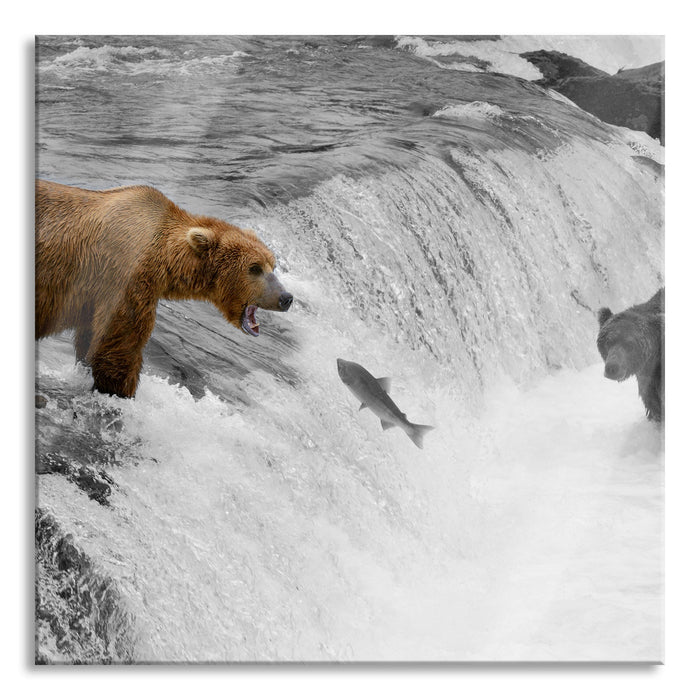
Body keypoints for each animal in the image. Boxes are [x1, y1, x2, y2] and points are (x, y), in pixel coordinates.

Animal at [35, 179, 293, 398]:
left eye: (272, 264)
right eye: (255, 268)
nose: (286, 297)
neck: (164, 259)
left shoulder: (95, 297)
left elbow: (90, 339)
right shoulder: (124, 279)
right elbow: (120, 345)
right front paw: (120, 391)